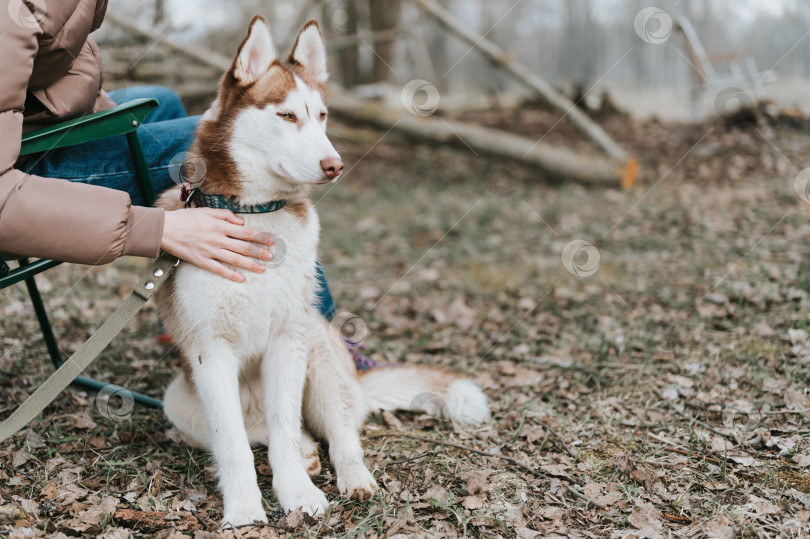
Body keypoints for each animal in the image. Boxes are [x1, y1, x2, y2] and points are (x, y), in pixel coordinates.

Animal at [155, 15, 490, 528]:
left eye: (323, 116)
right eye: (287, 116)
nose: (336, 165)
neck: (258, 213)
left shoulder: (287, 339)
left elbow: (286, 430)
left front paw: (296, 493)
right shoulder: (210, 350)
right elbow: (234, 442)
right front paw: (244, 509)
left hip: (319, 353)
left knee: (339, 435)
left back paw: (350, 474)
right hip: (178, 400)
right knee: (259, 430)